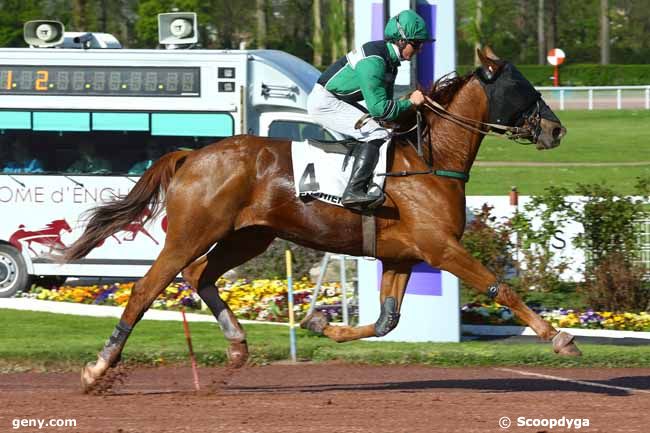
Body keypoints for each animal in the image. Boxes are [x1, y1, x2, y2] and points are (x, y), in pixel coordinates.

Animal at [62, 49, 576, 394]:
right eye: (523, 88)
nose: (557, 130)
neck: (429, 160)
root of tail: (192, 155)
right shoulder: (440, 247)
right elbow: (500, 288)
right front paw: (560, 338)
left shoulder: (402, 255)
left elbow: (387, 321)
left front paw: (319, 324)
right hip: (192, 233)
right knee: (147, 289)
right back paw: (97, 369)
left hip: (248, 237)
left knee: (198, 275)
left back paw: (237, 346)